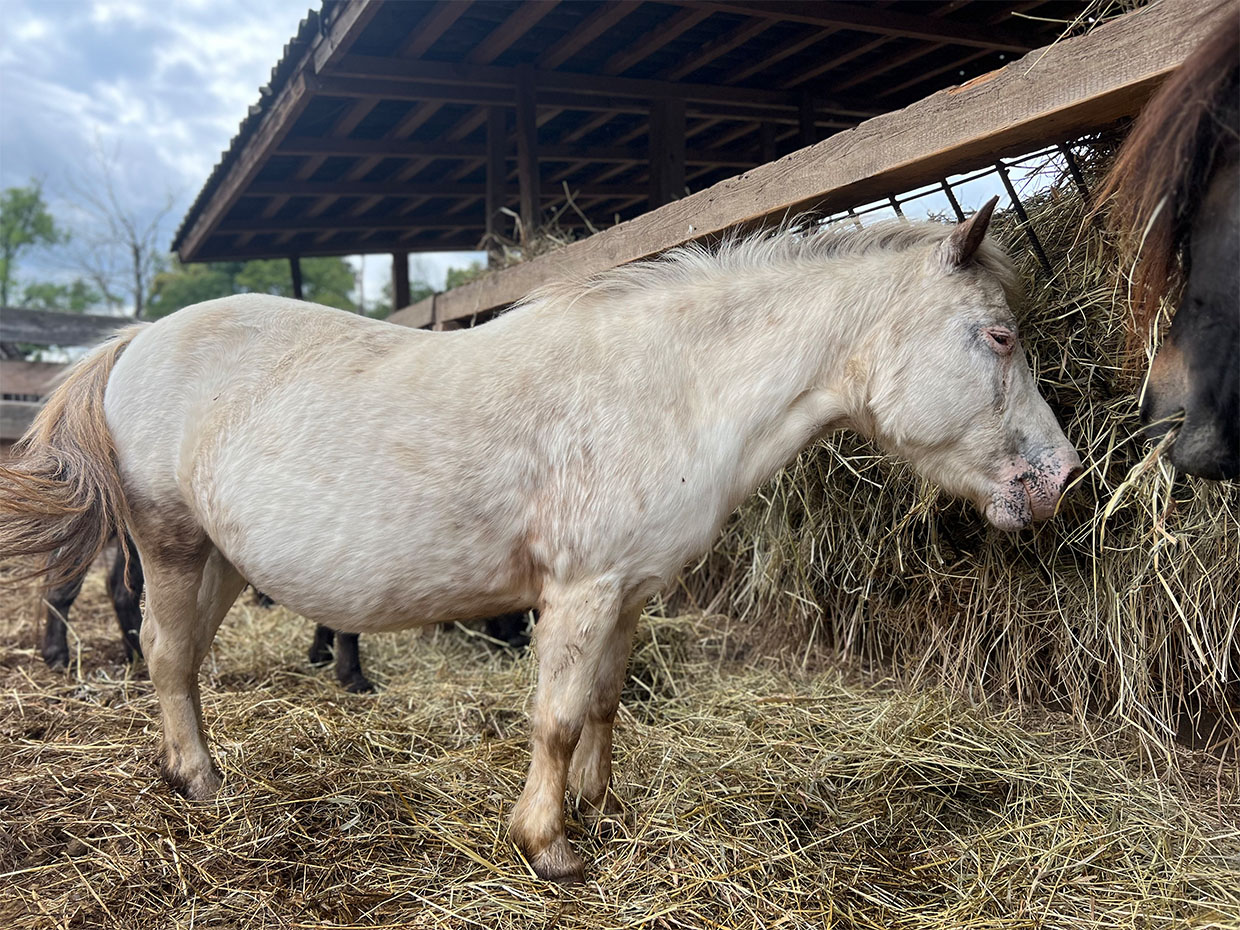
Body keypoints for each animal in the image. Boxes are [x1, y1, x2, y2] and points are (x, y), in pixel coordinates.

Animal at [2, 200, 1076, 882]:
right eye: (998, 337)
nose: (1059, 479)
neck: (672, 387)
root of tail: (135, 340)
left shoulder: (629, 591)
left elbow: (602, 702)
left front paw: (598, 808)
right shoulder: (582, 588)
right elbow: (556, 717)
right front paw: (548, 847)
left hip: (225, 561)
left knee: (178, 657)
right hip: (172, 547)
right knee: (166, 657)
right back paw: (201, 782)